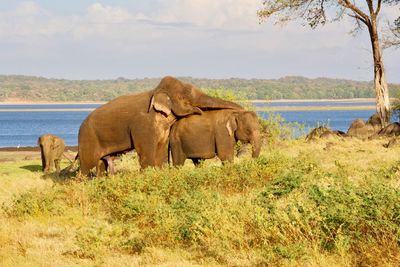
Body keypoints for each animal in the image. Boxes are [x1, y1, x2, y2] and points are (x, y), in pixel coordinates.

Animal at [77, 76, 242, 176]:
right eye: (184, 97)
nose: (241, 110)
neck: (156, 92)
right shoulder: (143, 125)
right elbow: (146, 152)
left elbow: (161, 151)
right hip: (88, 139)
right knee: (86, 165)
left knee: (100, 164)